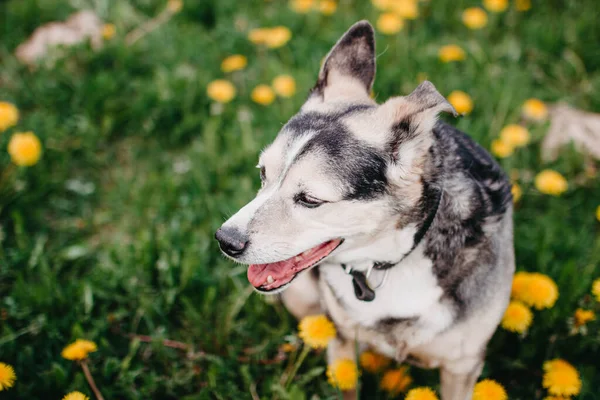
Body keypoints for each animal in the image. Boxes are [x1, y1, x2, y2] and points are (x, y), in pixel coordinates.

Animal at [216, 21, 516, 400]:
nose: (225, 240)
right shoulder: (343, 341)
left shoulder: (462, 367)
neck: (391, 260)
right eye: (262, 174)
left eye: (310, 200)